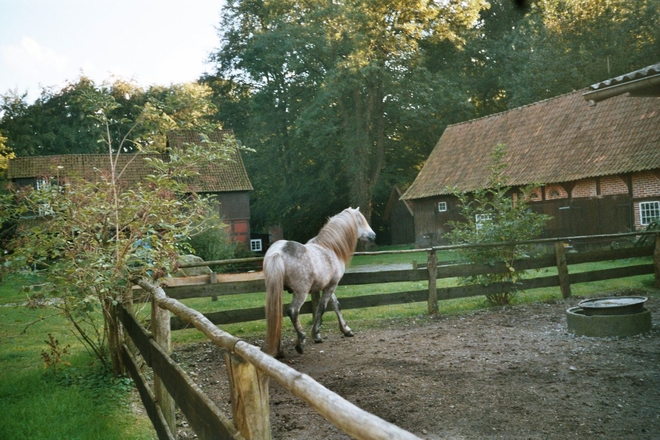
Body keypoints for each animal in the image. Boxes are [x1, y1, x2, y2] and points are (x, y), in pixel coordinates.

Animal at [262, 207, 376, 358]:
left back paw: (279, 349)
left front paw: (346, 330)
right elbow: (322, 308)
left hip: (276, 289)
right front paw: (316, 335)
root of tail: (278, 252)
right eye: (360, 221)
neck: (330, 248)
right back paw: (300, 341)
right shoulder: (331, 285)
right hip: (301, 293)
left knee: (276, 315)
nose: (373, 235)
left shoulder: (327, 286)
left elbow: (336, 305)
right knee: (293, 311)